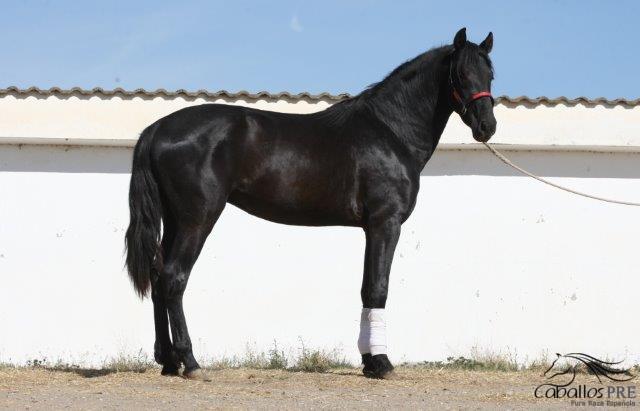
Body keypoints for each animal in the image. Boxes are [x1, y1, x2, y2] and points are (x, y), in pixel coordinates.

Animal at [125, 27, 496, 381]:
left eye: (490, 73)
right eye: (461, 73)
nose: (487, 126)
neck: (390, 131)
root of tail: (157, 128)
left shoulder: (370, 228)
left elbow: (365, 289)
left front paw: (368, 362)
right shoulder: (385, 223)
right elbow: (377, 289)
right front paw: (381, 363)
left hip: (175, 220)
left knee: (158, 279)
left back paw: (168, 361)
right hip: (198, 219)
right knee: (174, 278)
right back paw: (190, 361)